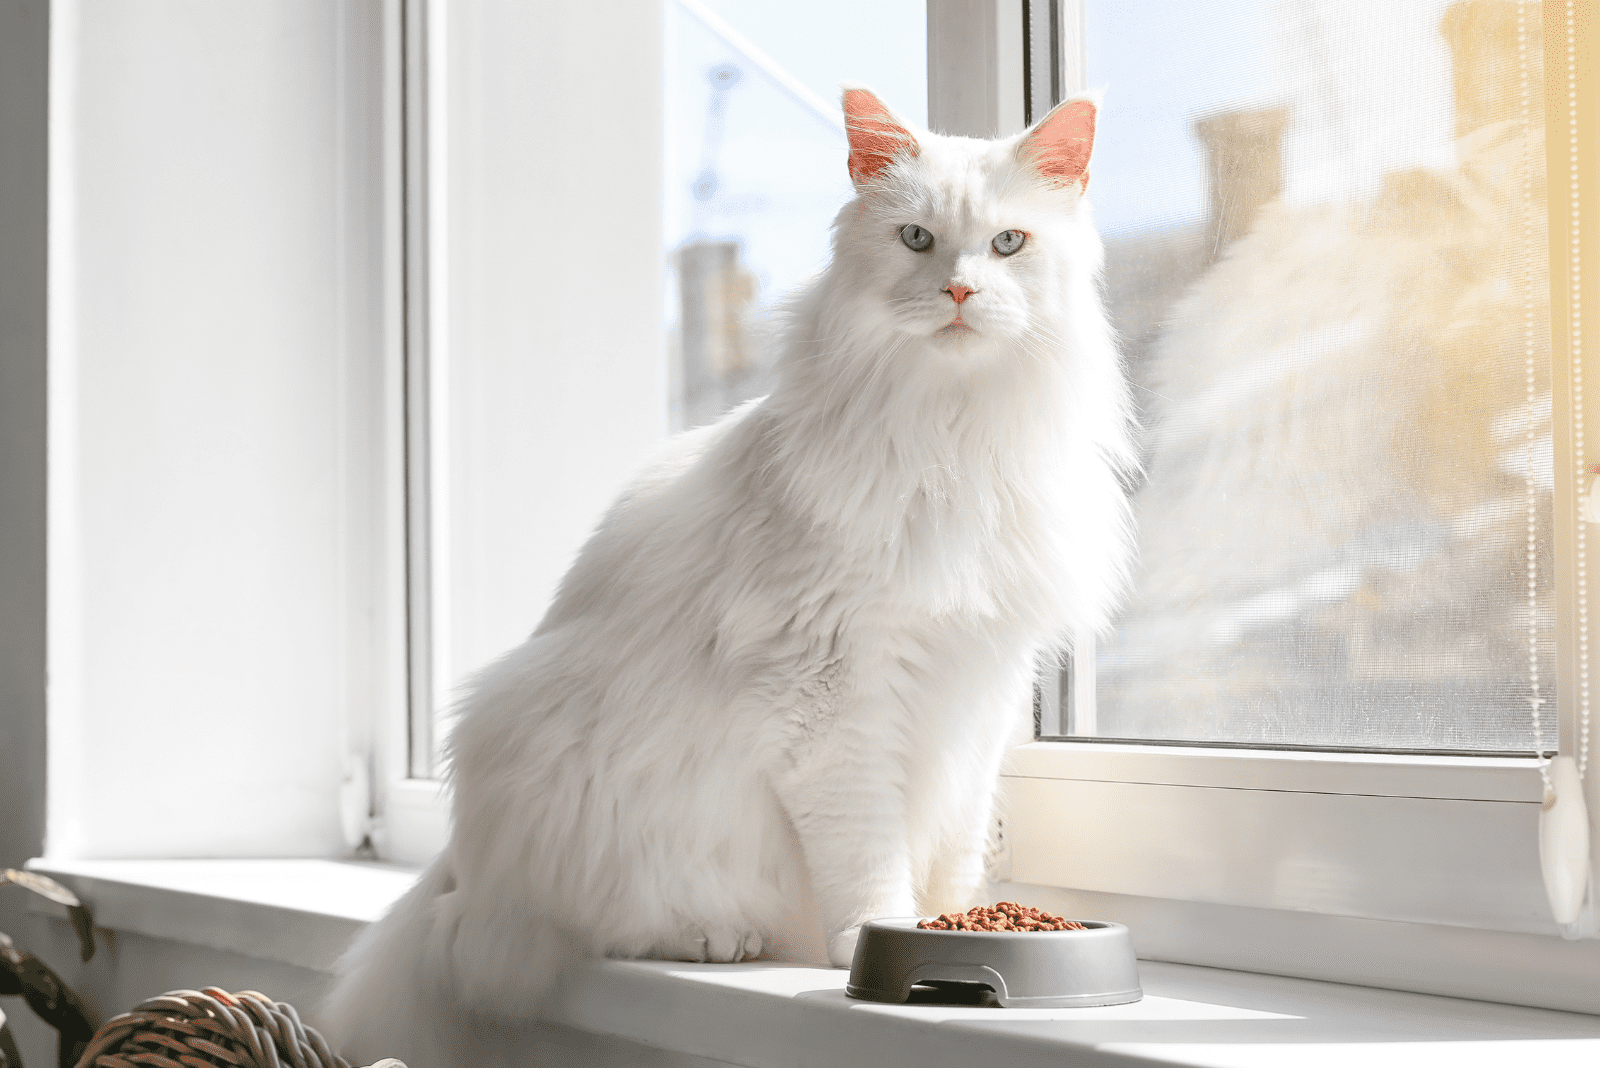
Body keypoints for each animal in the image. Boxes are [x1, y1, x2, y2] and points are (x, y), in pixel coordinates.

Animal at [318, 85, 1132, 1068]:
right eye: (915, 239)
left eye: (1009, 243)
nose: (961, 290)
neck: (952, 438)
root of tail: (457, 872)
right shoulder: (828, 696)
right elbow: (867, 857)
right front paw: (875, 944)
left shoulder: (980, 683)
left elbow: (953, 848)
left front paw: (952, 923)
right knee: (574, 928)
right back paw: (714, 938)